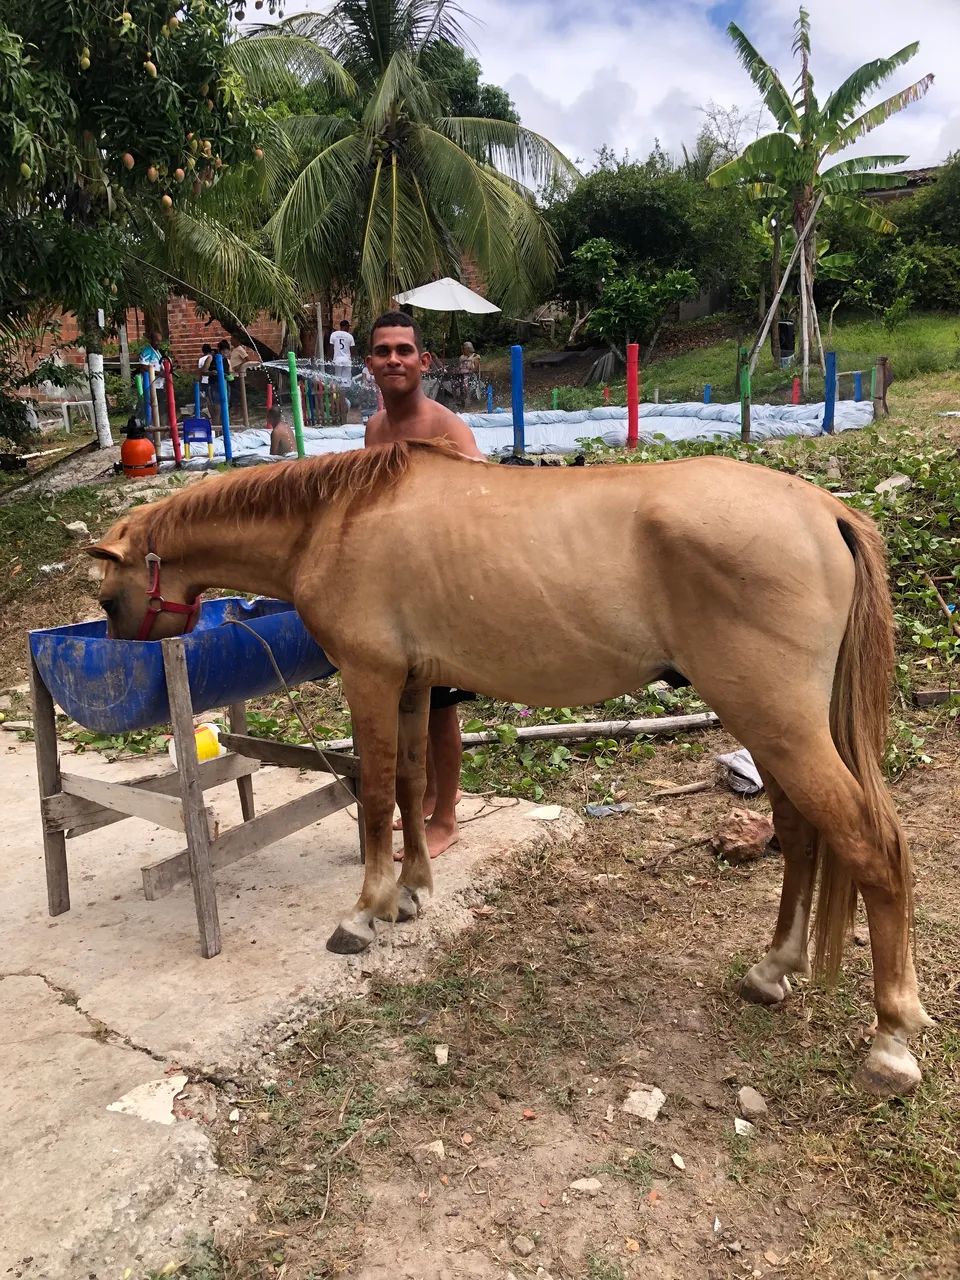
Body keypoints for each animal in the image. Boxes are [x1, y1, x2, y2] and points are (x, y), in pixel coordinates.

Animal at [87, 439, 932, 1096]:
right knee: (801, 833)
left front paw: (365, 911)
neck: (337, 518)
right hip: (774, 726)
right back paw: (774, 968)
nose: (118, 653)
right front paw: (412, 892)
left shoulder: (370, 678)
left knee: (871, 847)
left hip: (780, 723)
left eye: (107, 598)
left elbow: (375, 797)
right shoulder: (414, 685)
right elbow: (412, 785)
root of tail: (821, 509)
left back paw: (891, 1039)